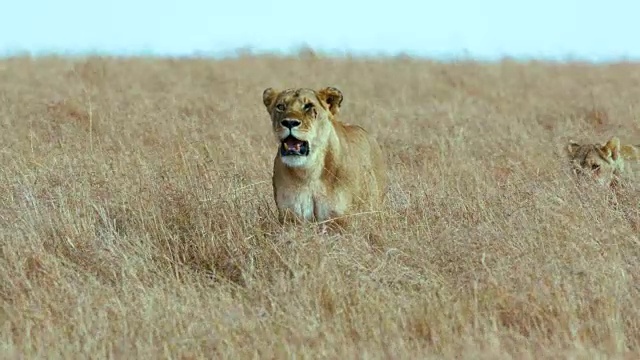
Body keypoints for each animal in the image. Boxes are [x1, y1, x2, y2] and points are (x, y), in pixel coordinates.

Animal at [262, 86, 388, 229]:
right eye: (280, 106)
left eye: (308, 106)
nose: (289, 122)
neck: (309, 172)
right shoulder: (292, 217)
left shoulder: (339, 219)